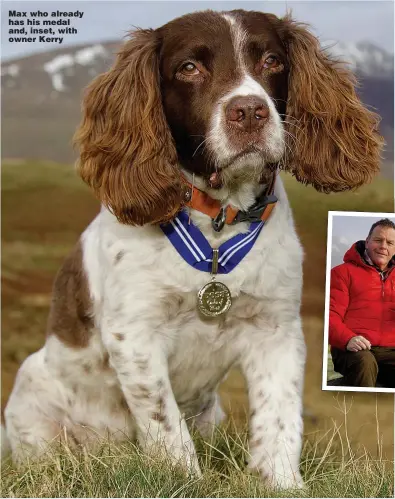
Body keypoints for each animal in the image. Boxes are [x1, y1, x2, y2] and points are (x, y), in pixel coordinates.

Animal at [2, 9, 380, 490]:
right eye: (189, 68)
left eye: (272, 61)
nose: (250, 112)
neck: (218, 224)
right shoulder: (135, 335)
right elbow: (165, 423)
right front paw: (184, 480)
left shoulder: (276, 328)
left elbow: (279, 415)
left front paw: (281, 482)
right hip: (33, 391)